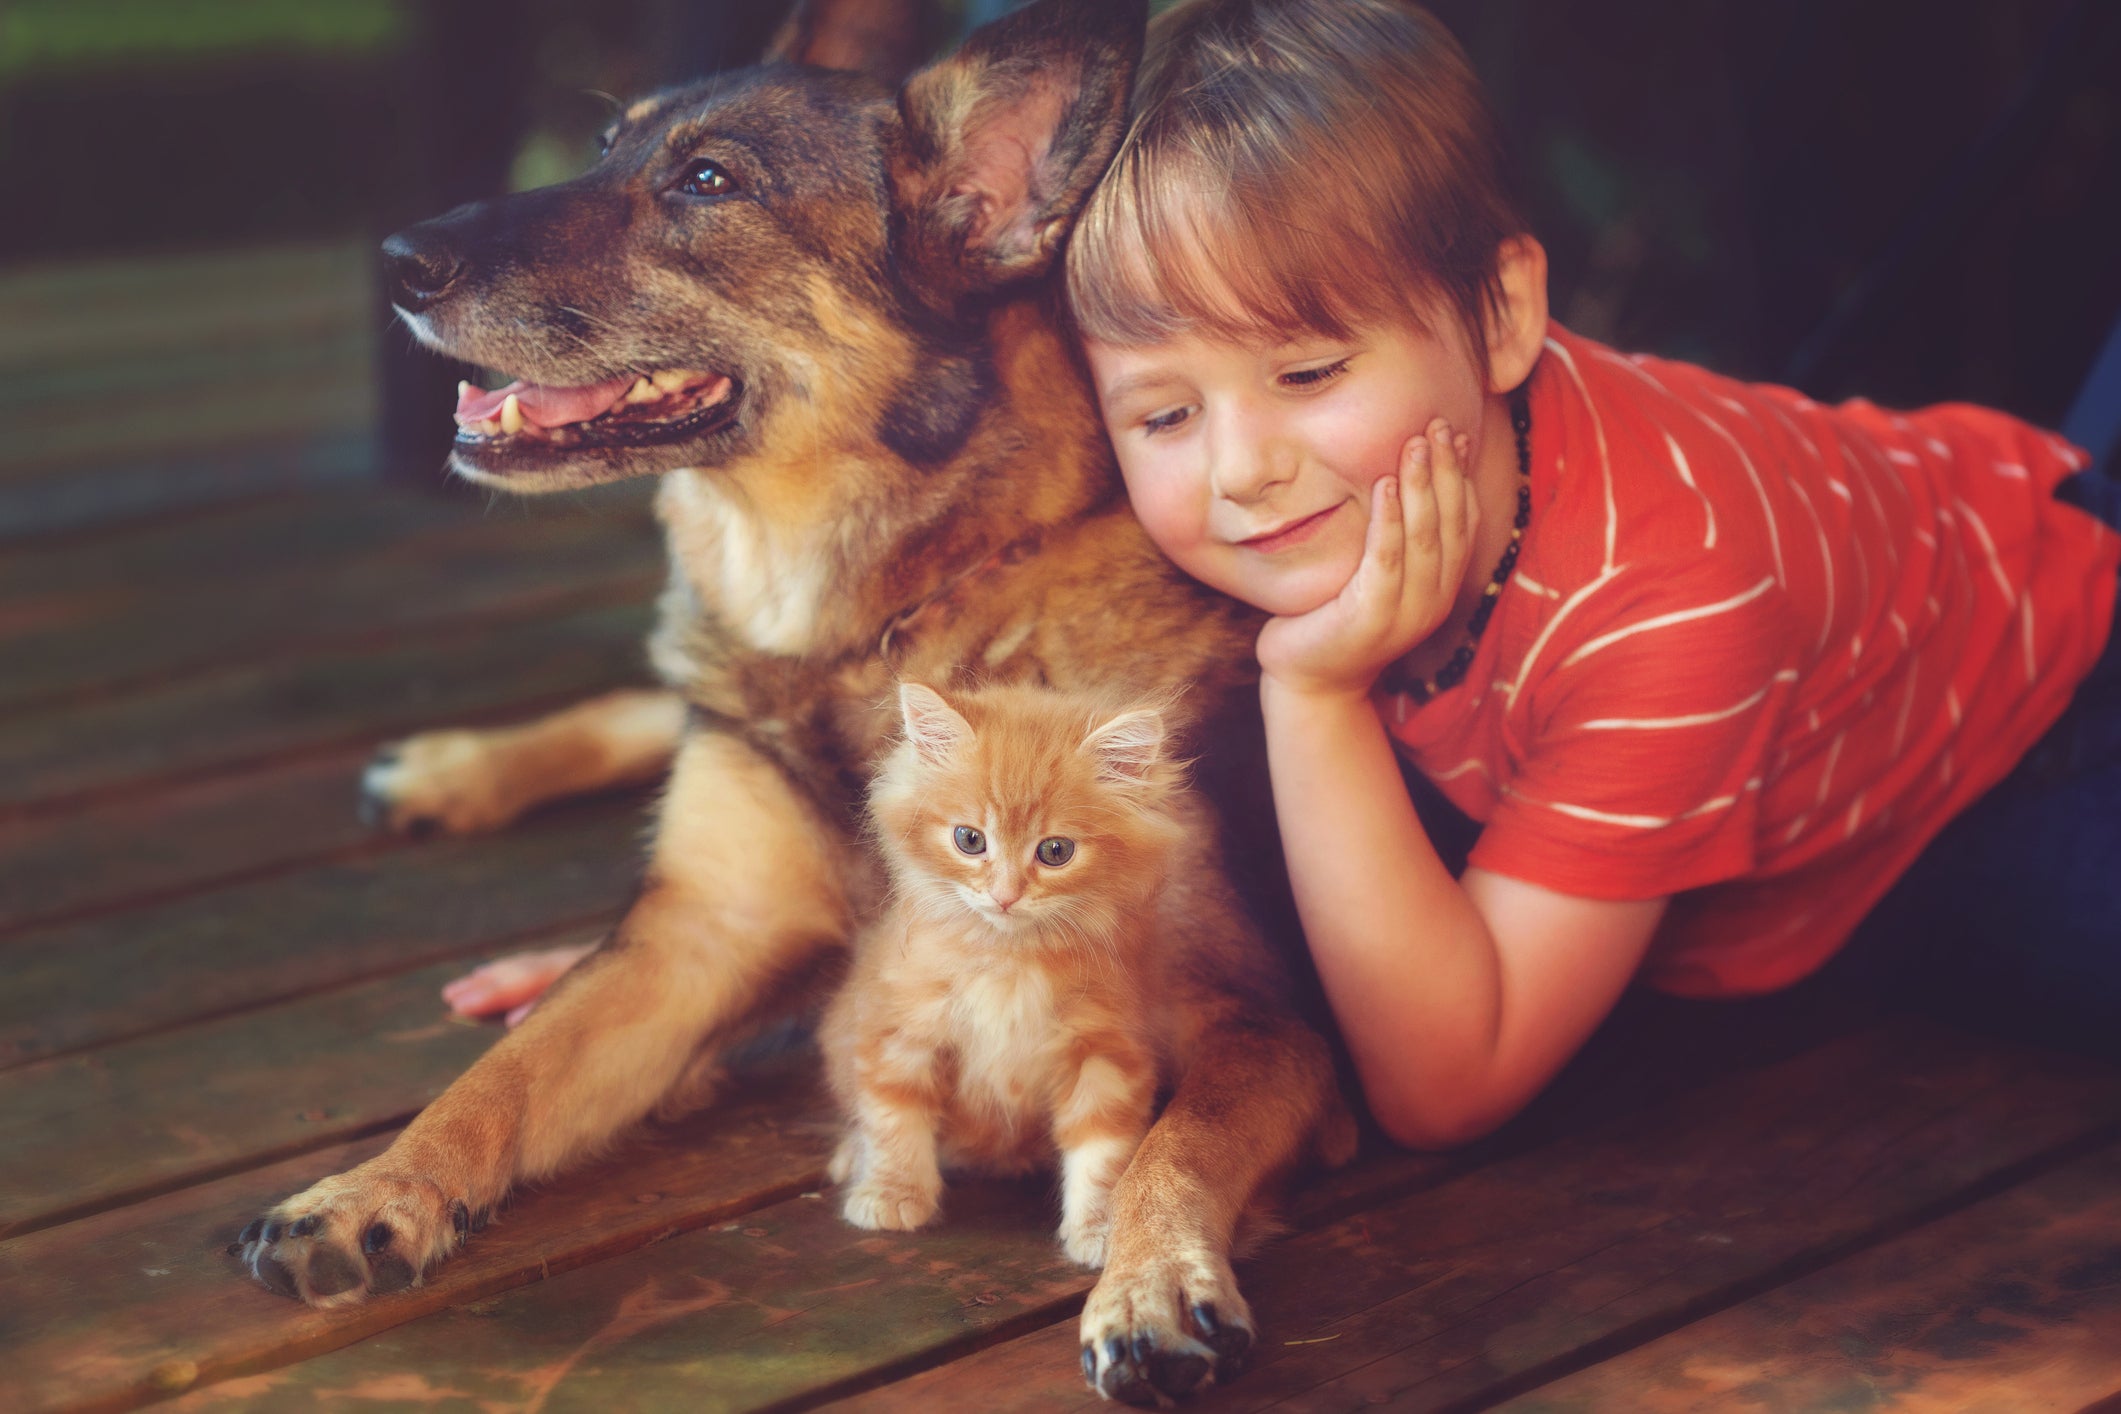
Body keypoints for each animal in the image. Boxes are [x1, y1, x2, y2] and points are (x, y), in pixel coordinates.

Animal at [818, 678, 1204, 1263]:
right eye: (969, 839)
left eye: (1056, 851)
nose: (1004, 896)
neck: (1009, 958)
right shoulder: (900, 1028)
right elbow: (893, 1118)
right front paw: (893, 1193)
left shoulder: (1106, 1046)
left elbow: (1104, 1146)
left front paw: (1100, 1228)